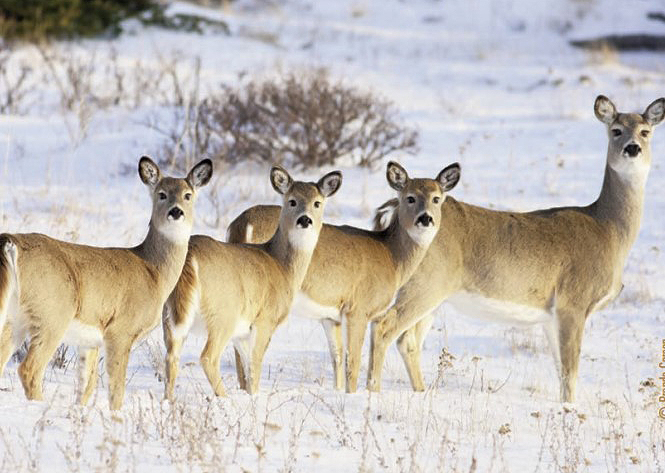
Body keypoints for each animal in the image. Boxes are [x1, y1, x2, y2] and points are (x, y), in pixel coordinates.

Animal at [0, 157, 211, 408]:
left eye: (188, 195)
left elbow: (85, 387)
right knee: (30, 369)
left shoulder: (90, 341)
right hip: (53, 313)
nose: (176, 211)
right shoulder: (120, 330)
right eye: (161, 194)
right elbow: (116, 389)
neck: (154, 272)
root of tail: (11, 242)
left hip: (16, 317)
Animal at [161, 164, 342, 396]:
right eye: (292, 201)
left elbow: (247, 369)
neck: (283, 267)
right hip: (223, 315)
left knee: (171, 358)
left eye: (317, 203)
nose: (305, 220)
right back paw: (224, 398)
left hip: (170, 316)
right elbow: (255, 367)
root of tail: (189, 257)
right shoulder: (264, 320)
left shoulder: (242, 332)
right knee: (208, 358)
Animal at [226, 161, 460, 390]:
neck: (391, 257)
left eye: (436, 199)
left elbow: (337, 358)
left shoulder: (331, 316)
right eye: (410, 197)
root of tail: (242, 224)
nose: (425, 218)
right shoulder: (358, 308)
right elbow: (353, 363)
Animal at [368, 97, 664, 402]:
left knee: (408, 340)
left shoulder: (551, 315)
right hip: (427, 283)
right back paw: (373, 389)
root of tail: (394, 209)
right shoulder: (573, 300)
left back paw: (422, 391)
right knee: (384, 326)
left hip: (435, 293)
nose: (632, 148)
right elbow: (571, 374)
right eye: (616, 130)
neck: (609, 230)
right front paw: (571, 408)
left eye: (645, 131)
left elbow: (561, 373)